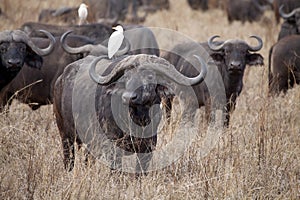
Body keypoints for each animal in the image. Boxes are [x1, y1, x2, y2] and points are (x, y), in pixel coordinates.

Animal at [53, 54, 206, 173]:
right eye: (126, 77)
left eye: (149, 76)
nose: (128, 97)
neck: (137, 119)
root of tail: (60, 79)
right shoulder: (113, 147)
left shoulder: (148, 147)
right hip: (65, 134)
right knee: (69, 158)